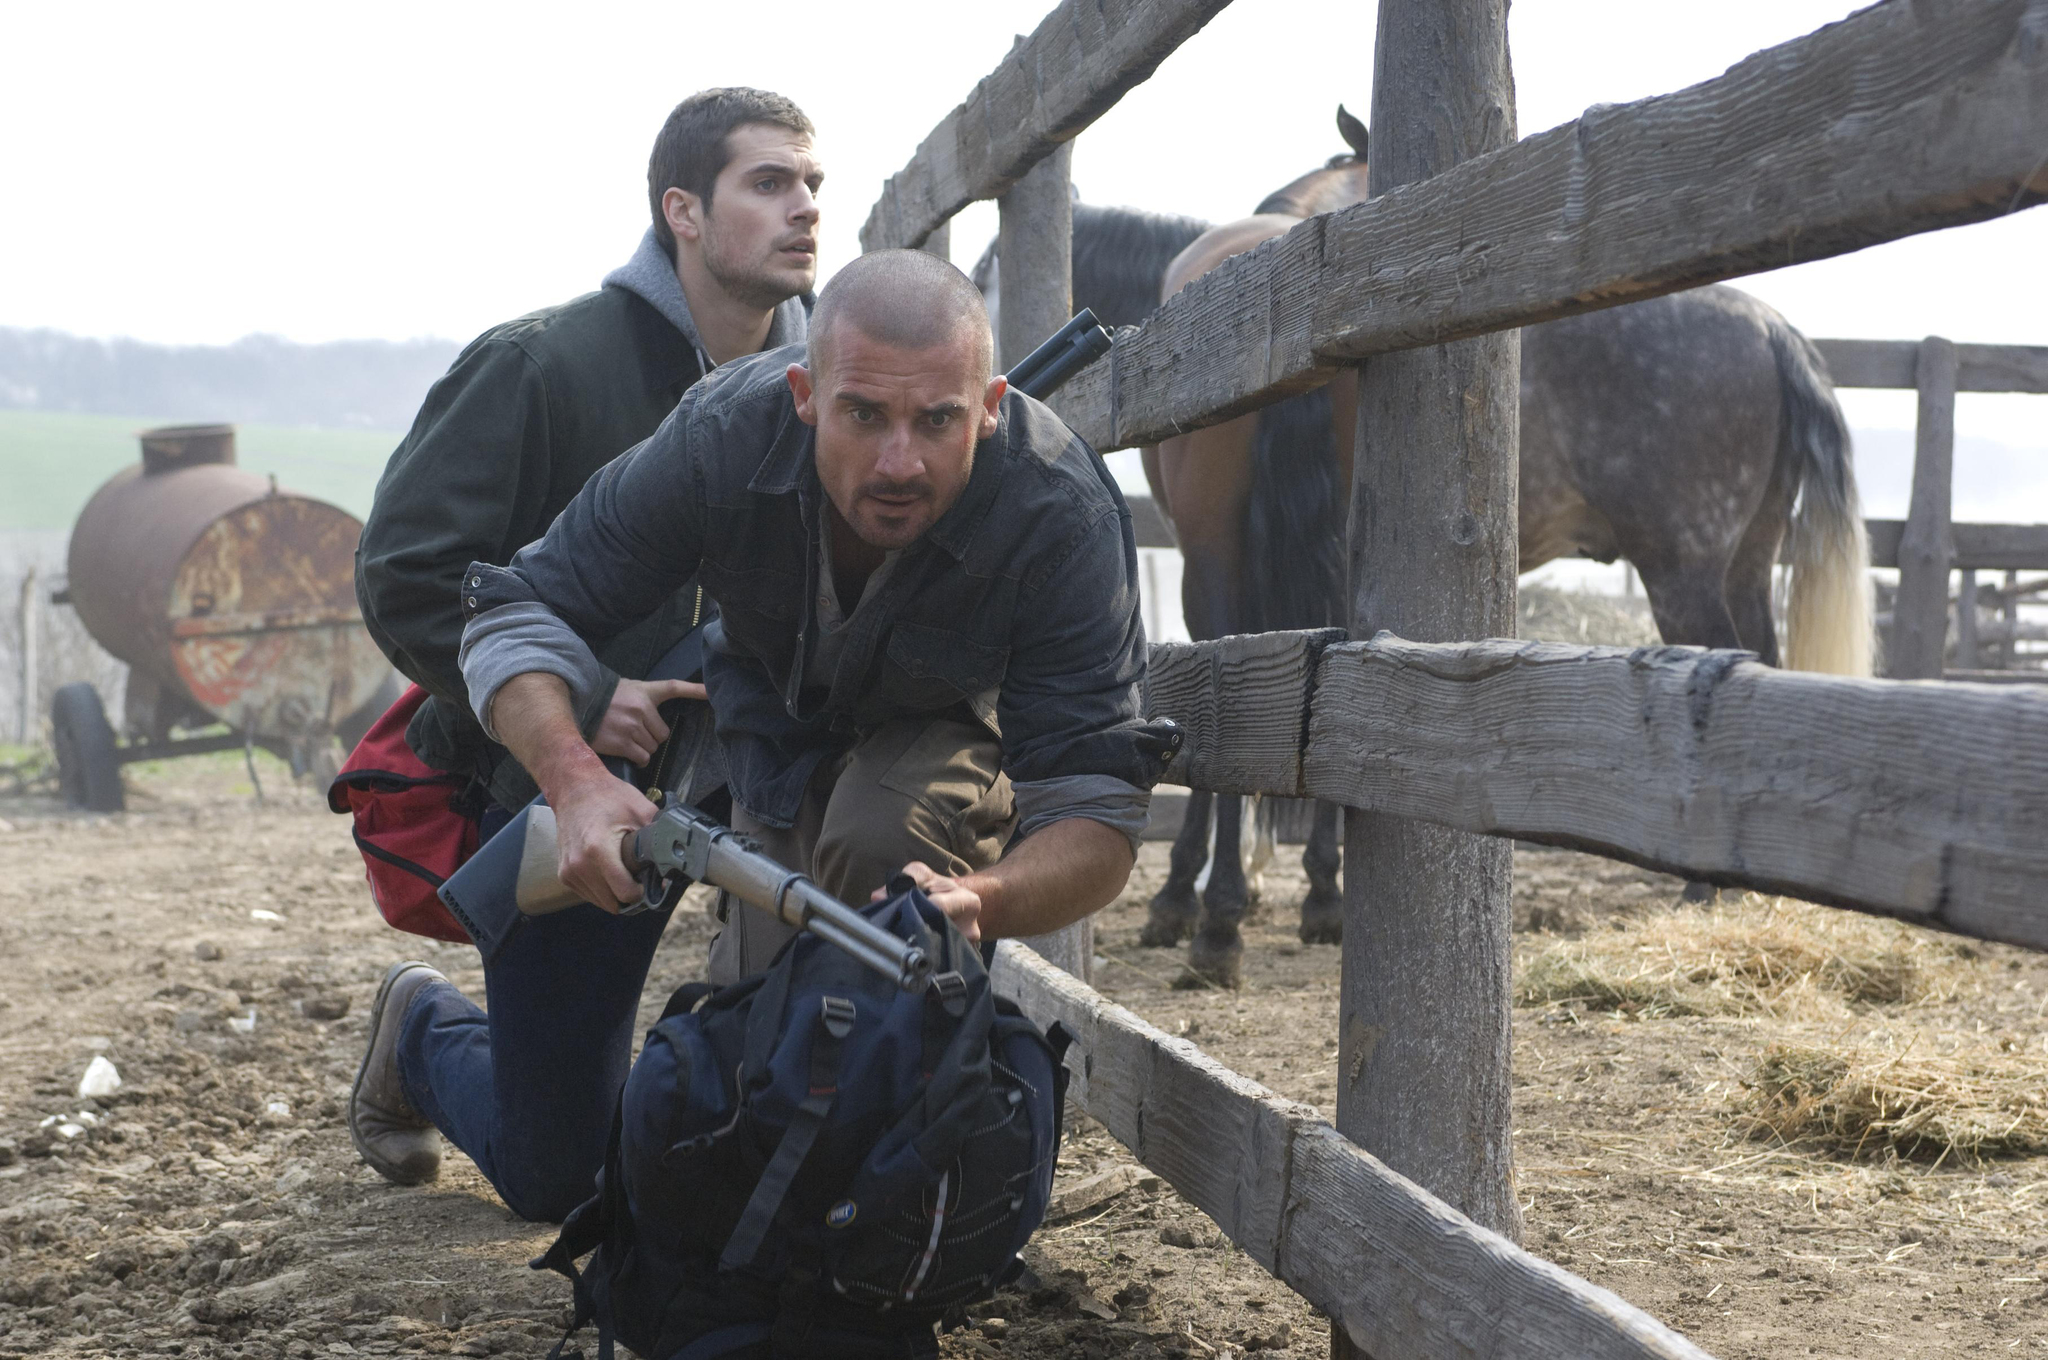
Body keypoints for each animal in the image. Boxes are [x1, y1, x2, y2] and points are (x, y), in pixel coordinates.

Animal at [974, 103, 1875, 979]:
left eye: (984, 276)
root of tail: (1774, 332)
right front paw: (1312, 895)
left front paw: (1199, 898)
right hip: (1738, 561)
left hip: (1674, 562)